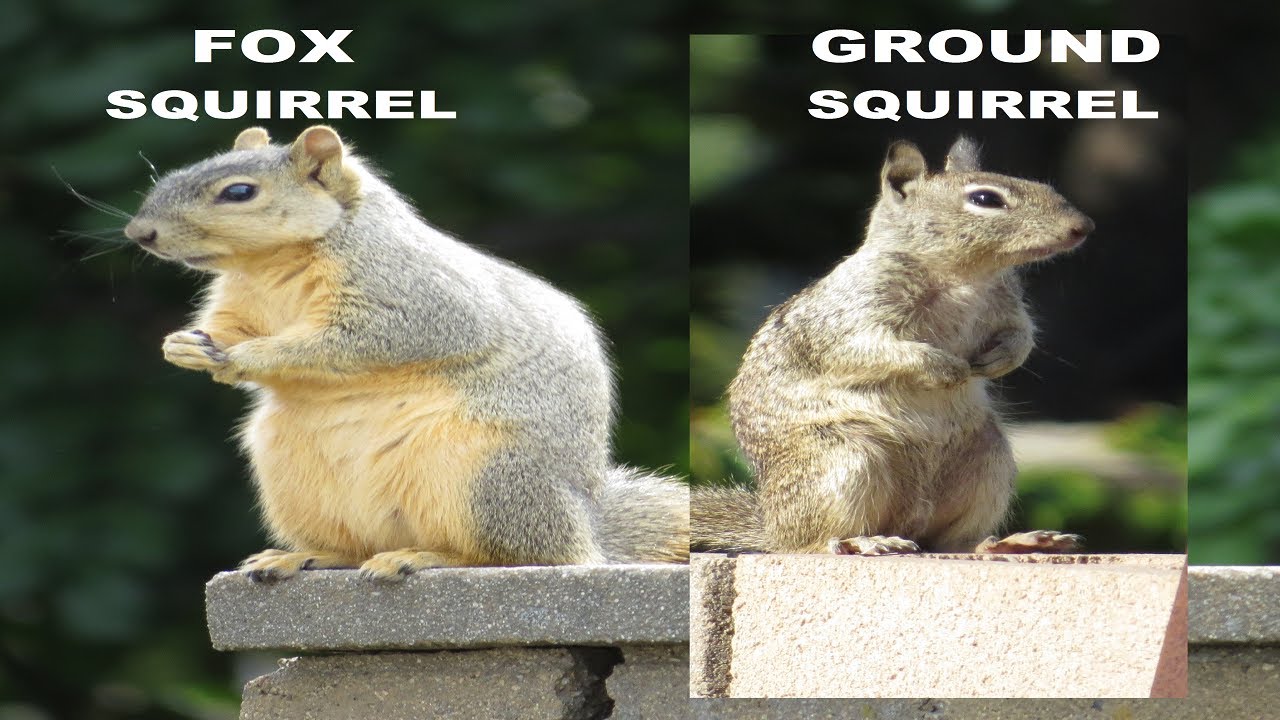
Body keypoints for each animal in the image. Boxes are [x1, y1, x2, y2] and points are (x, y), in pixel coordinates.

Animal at [124, 125, 689, 581]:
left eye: (239, 192)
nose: (138, 233)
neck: (267, 263)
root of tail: (587, 534)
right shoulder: (238, 301)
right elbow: (226, 327)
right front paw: (181, 345)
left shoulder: (413, 299)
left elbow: (358, 341)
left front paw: (249, 357)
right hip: (295, 478)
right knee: (355, 546)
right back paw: (304, 555)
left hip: (482, 477)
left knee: (514, 554)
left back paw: (423, 557)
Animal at [691, 137, 1092, 556]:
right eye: (985, 198)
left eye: (1043, 185)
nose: (1083, 227)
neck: (963, 277)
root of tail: (773, 528)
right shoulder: (851, 318)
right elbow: (871, 350)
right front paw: (945, 367)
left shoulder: (1009, 307)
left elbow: (1022, 333)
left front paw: (1002, 358)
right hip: (844, 461)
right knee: (812, 544)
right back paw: (862, 541)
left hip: (989, 463)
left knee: (955, 542)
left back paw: (1008, 544)